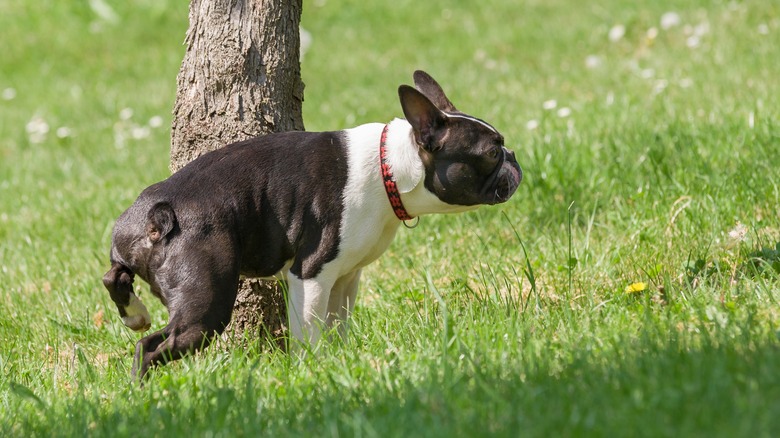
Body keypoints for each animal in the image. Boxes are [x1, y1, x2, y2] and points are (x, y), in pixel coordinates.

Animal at [100, 70, 520, 378]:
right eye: (491, 152)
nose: (514, 158)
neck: (391, 167)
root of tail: (156, 213)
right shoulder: (312, 273)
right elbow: (310, 329)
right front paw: (313, 369)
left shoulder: (347, 277)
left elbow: (338, 323)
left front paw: (340, 360)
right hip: (206, 301)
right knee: (152, 346)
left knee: (112, 277)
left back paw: (134, 314)